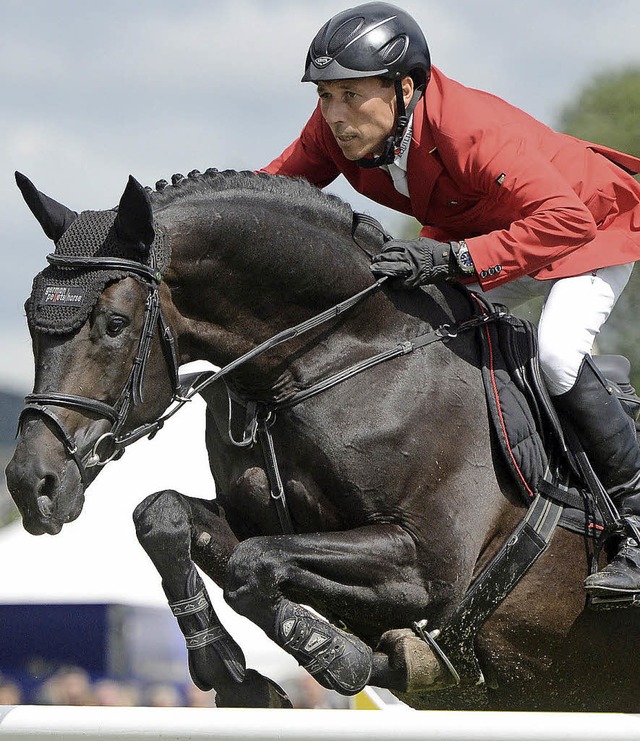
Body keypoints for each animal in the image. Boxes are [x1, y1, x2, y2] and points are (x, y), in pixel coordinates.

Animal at [6, 171, 640, 708]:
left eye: (114, 324)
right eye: (30, 319)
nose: (31, 486)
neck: (329, 358)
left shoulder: (426, 564)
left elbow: (254, 565)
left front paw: (345, 655)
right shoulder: (261, 520)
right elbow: (165, 517)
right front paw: (232, 675)